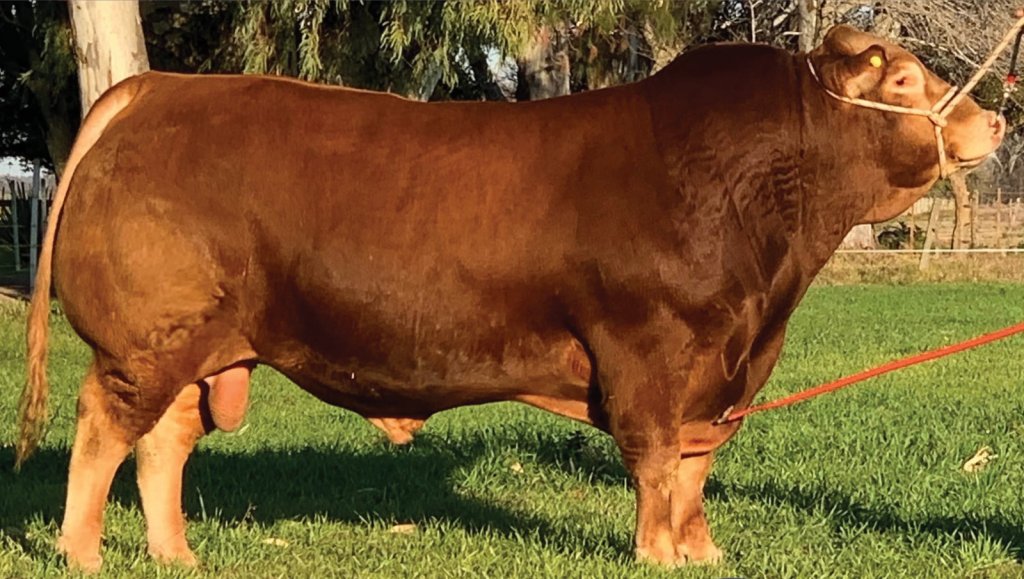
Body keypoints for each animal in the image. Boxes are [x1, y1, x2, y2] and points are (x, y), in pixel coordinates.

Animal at [15, 25, 1005, 572]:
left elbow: (693, 471)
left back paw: (174, 553)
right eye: (904, 80)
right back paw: (82, 553)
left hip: (202, 343)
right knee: (104, 428)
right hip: (145, 340)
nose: (995, 117)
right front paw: (657, 554)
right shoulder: (649, 353)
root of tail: (158, 90)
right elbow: (657, 464)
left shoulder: (725, 370)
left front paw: (702, 552)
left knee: (163, 441)